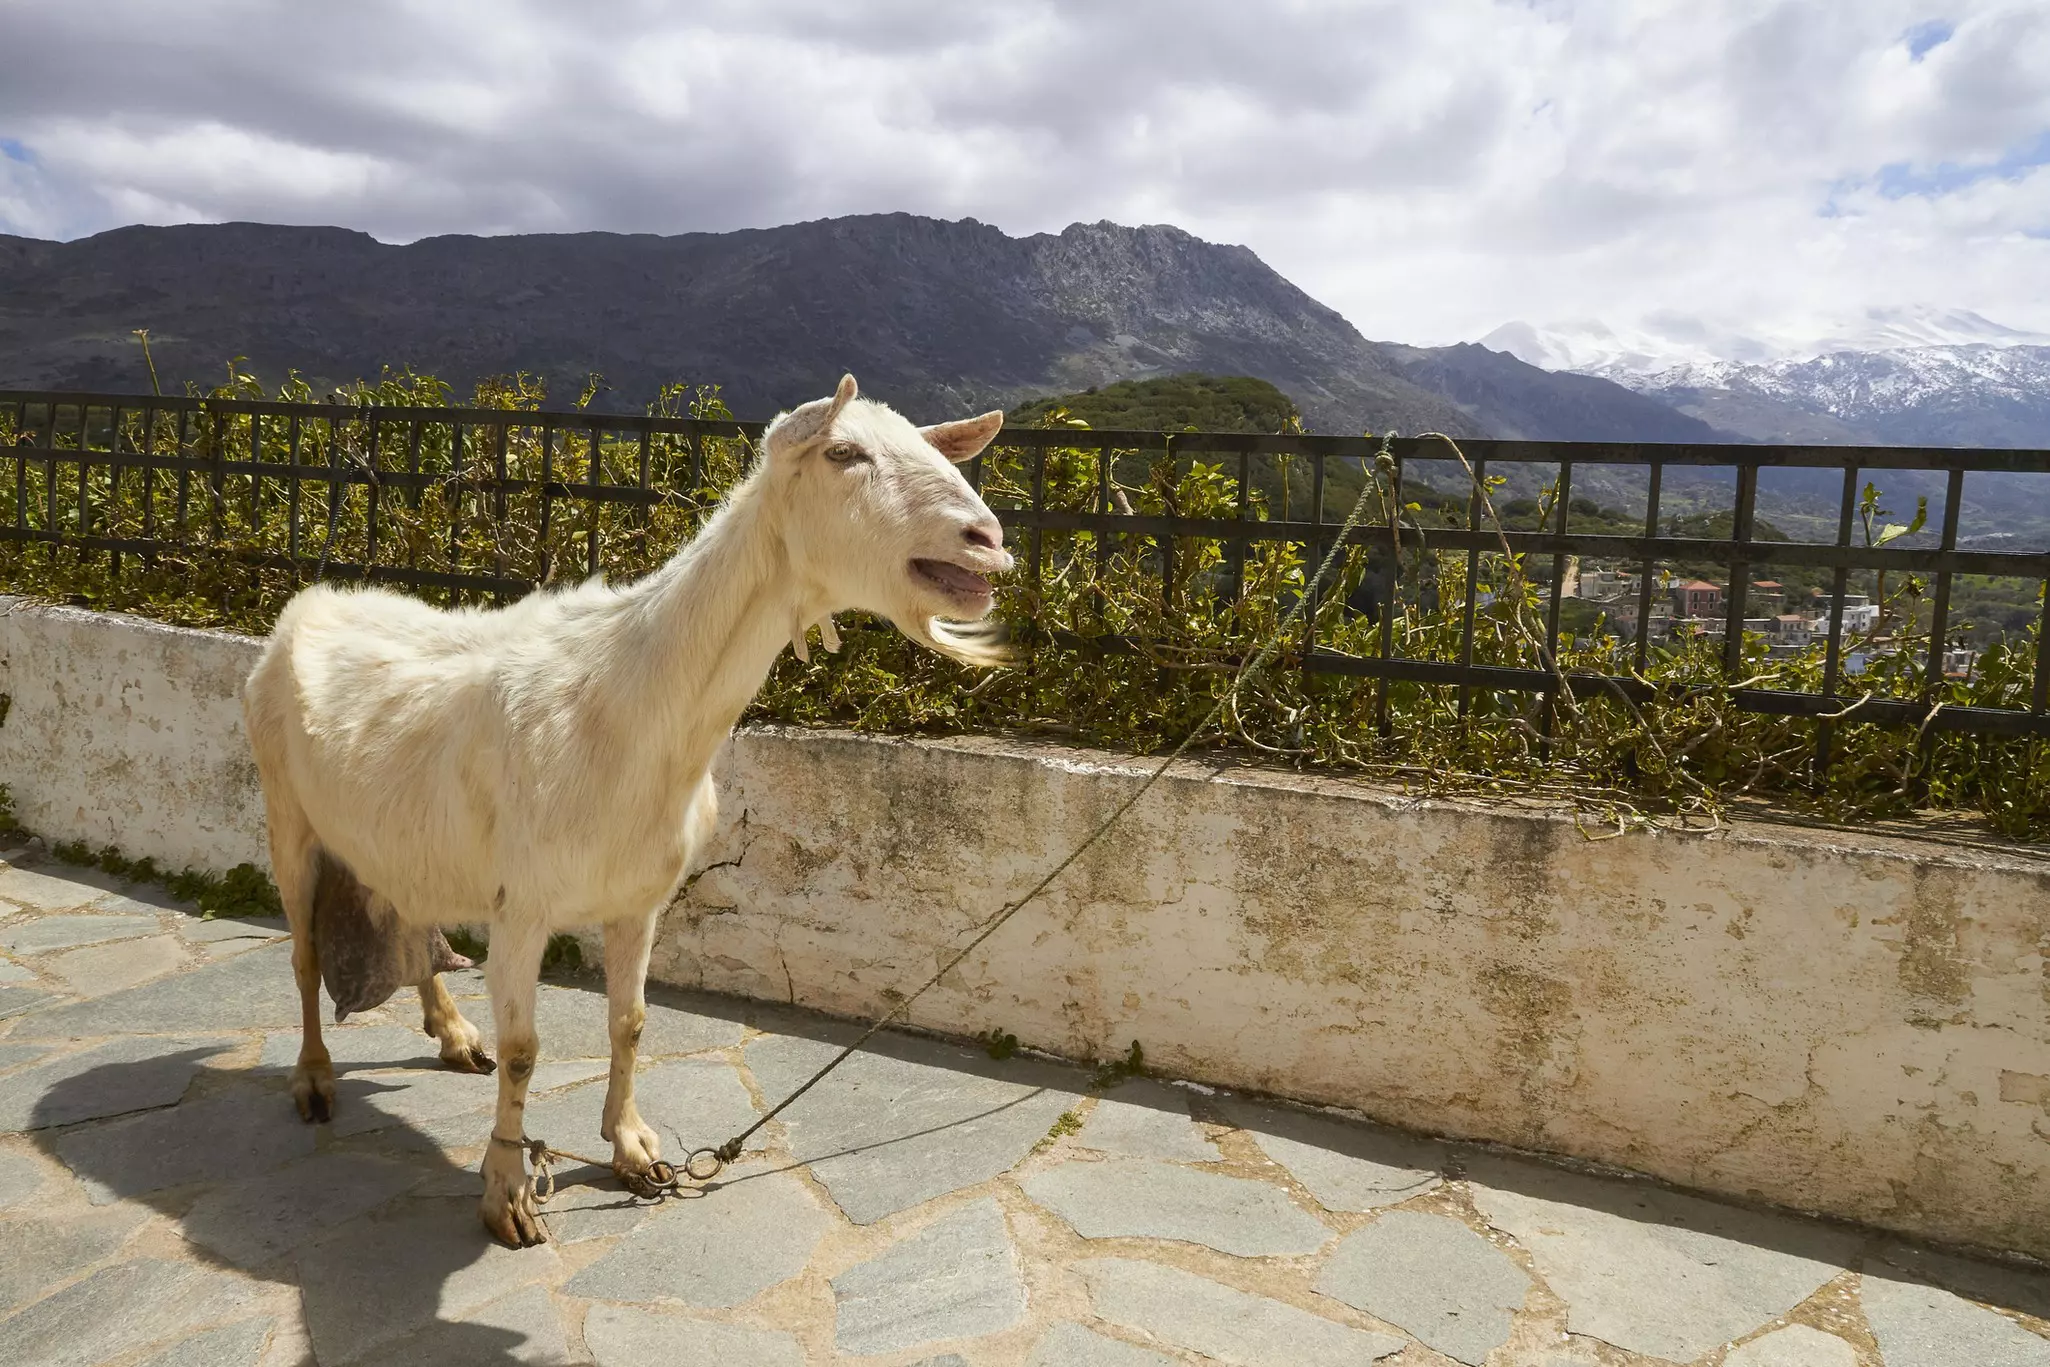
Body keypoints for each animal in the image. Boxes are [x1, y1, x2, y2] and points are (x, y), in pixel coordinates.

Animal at [241, 376, 1011, 1246]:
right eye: (845, 453)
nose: (987, 538)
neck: (632, 698)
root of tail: (310, 601)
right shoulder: (522, 904)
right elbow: (524, 1048)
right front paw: (508, 1191)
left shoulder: (640, 897)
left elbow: (631, 1020)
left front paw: (633, 1146)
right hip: (286, 810)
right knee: (306, 956)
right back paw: (314, 1078)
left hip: (400, 831)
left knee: (408, 909)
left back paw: (453, 1033)